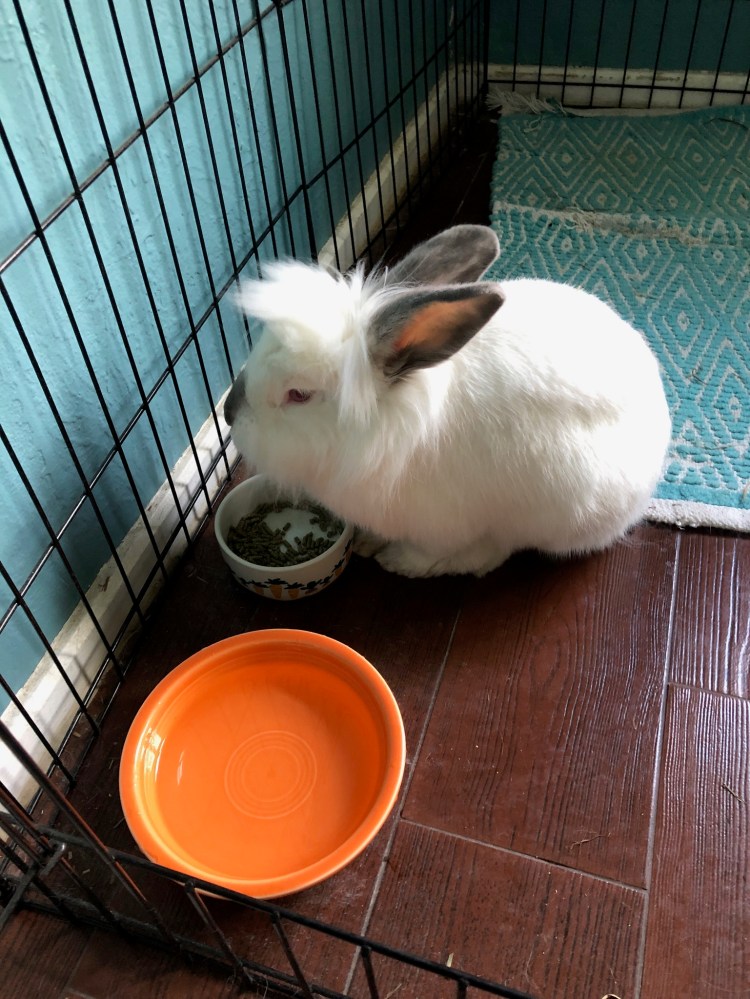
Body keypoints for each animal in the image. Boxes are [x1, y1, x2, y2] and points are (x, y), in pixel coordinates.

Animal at [224, 224, 671, 578]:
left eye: (298, 394)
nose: (228, 413)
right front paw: (366, 541)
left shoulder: (443, 525)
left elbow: (433, 550)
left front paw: (398, 560)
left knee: (500, 547)